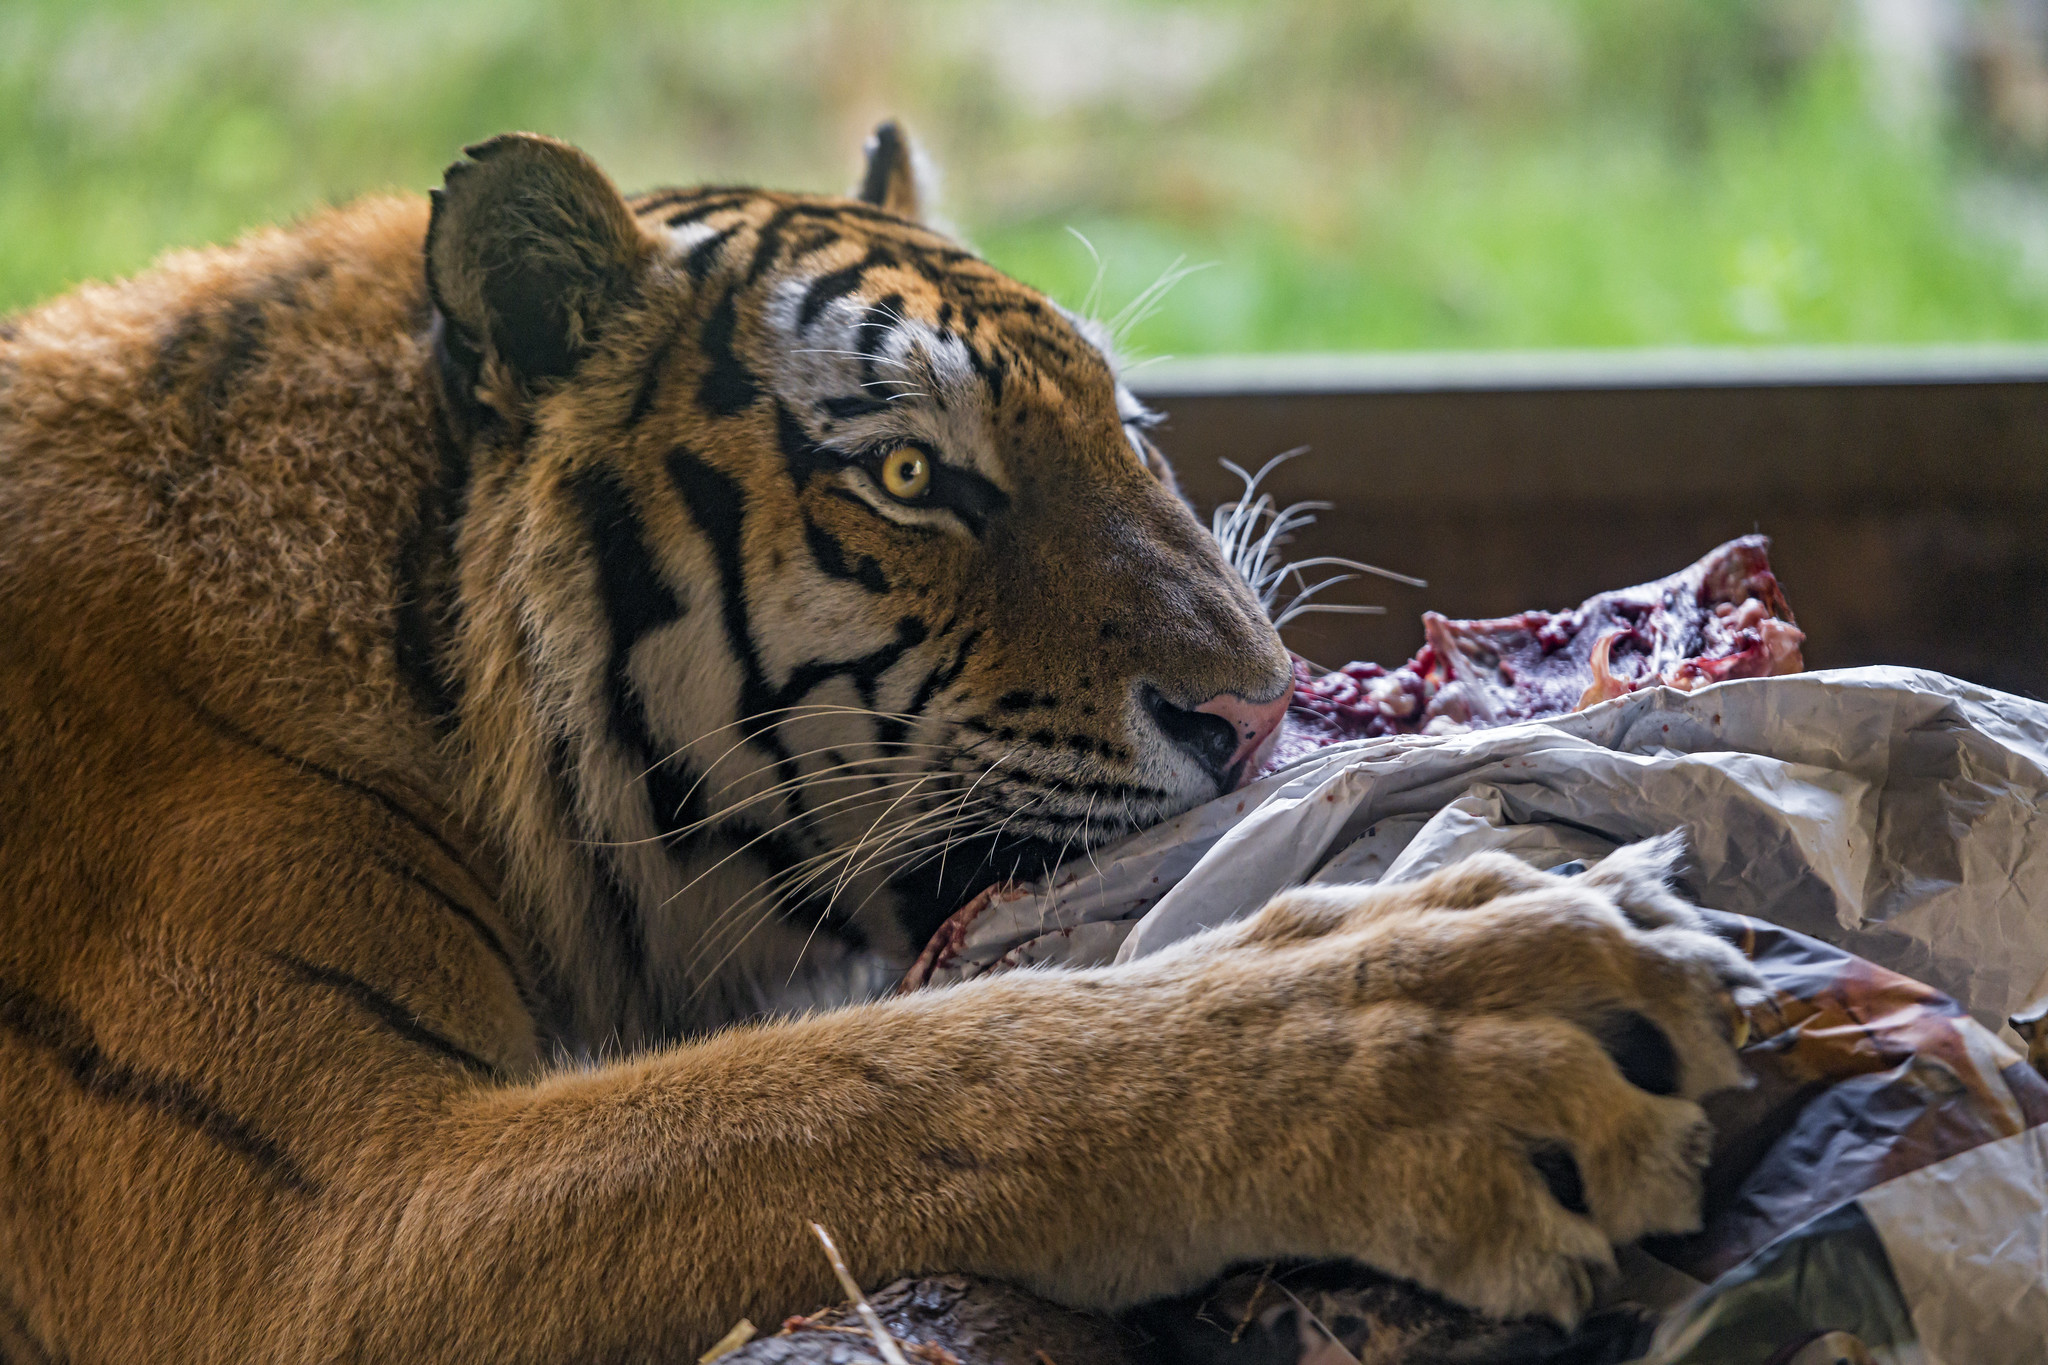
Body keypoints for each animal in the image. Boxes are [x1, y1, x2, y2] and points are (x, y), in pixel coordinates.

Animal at [0, 122, 1753, 1358]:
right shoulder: (312, 1230)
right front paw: (1472, 1017)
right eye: (911, 477)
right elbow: (875, 1083)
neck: (421, 628)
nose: (1257, 707)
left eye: (1127, 425)